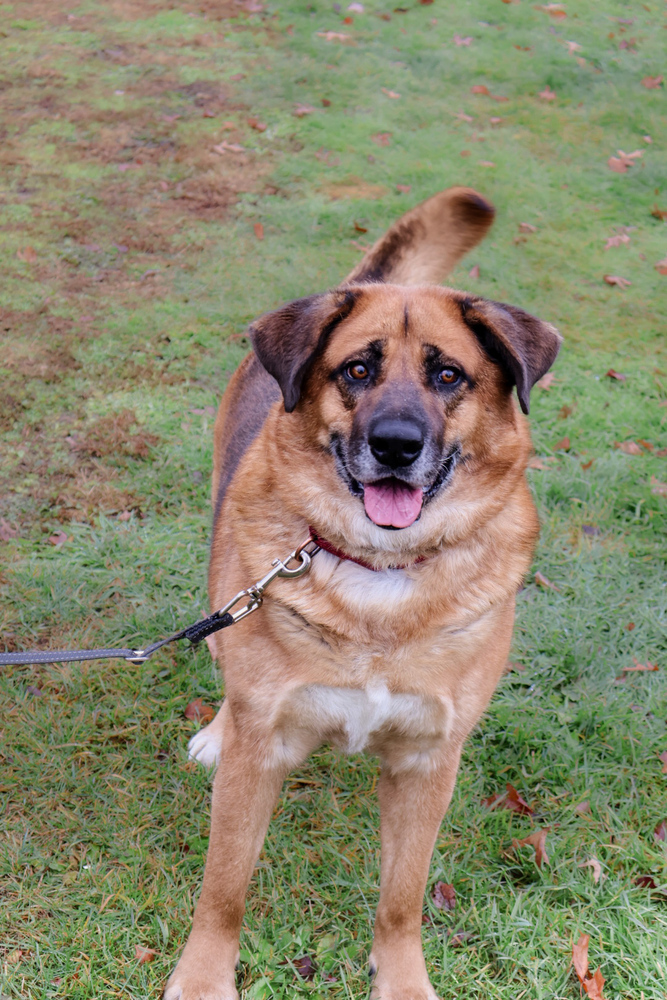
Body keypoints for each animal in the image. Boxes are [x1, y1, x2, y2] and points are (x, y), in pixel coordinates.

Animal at [164, 188, 560, 1000]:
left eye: (449, 376)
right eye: (355, 369)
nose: (397, 446)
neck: (382, 573)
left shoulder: (427, 765)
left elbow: (401, 898)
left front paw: (401, 979)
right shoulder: (262, 753)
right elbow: (224, 888)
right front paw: (203, 976)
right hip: (226, 583)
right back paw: (216, 728)